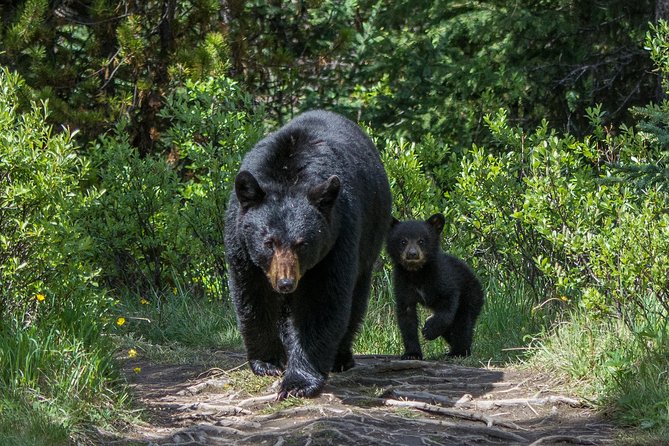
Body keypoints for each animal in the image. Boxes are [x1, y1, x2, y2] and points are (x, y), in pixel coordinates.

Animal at [224, 110, 392, 399]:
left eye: (302, 244)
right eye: (269, 242)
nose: (285, 283)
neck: (288, 175)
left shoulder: (338, 236)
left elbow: (321, 301)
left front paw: (298, 381)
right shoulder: (241, 242)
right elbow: (253, 295)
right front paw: (267, 362)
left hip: (370, 238)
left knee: (355, 299)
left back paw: (340, 357)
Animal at [386, 213, 484, 359]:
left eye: (421, 241)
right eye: (403, 241)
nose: (412, 254)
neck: (417, 272)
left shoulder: (441, 277)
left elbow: (448, 302)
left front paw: (429, 330)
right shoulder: (402, 283)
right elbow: (407, 317)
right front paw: (412, 354)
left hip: (471, 295)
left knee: (463, 324)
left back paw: (459, 351)